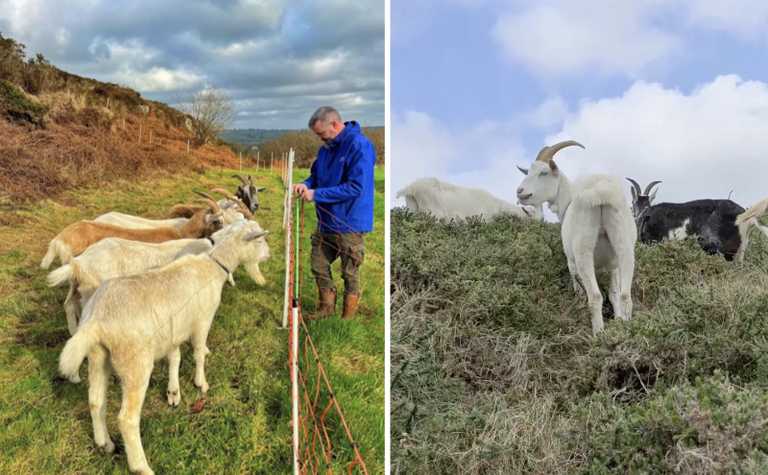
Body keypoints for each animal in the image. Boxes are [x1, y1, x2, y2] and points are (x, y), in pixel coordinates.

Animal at [58, 221, 270, 475]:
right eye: (260, 240)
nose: (268, 255)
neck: (212, 265)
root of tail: (97, 320)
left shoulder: (173, 331)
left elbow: (175, 357)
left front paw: (174, 392)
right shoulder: (202, 321)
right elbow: (199, 352)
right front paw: (201, 383)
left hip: (98, 356)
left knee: (96, 401)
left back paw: (105, 443)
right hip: (135, 363)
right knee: (127, 419)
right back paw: (141, 466)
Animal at [517, 141, 636, 335]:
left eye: (543, 172)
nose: (520, 192)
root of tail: (600, 192)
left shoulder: (571, 263)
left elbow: (579, 292)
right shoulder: (614, 266)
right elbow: (614, 294)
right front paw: (618, 322)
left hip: (582, 252)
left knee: (594, 296)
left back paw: (598, 335)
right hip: (624, 245)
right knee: (626, 295)